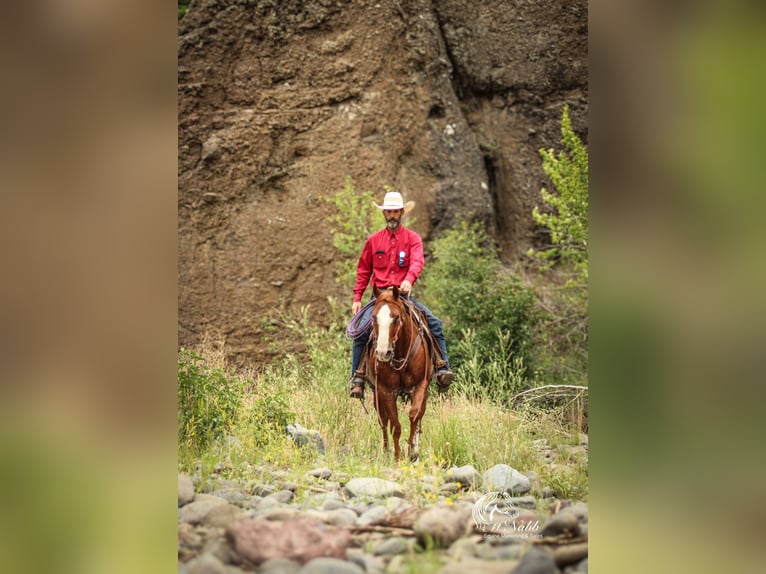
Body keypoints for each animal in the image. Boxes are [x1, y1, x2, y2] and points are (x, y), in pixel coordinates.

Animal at [366, 285, 433, 461]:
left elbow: (415, 415)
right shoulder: (386, 391)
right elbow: (395, 425)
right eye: (374, 317)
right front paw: (397, 457)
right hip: (377, 394)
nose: (383, 353)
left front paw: (412, 452)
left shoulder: (420, 385)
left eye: (395, 317)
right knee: (383, 420)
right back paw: (386, 451)